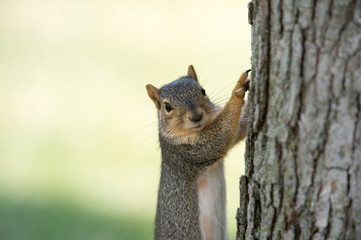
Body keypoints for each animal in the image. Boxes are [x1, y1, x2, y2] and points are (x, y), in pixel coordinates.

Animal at [145, 65, 249, 240]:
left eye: (203, 90)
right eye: (167, 107)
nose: (196, 117)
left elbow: (239, 129)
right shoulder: (186, 153)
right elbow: (219, 138)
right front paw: (237, 91)